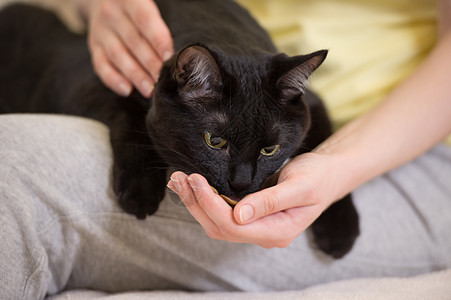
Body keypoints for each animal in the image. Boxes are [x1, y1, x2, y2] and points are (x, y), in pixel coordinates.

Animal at [0, 0, 360, 258]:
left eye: (269, 149)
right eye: (215, 141)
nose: (241, 184)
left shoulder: (314, 104)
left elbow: (326, 142)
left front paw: (340, 228)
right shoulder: (85, 80)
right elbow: (132, 116)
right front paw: (140, 189)